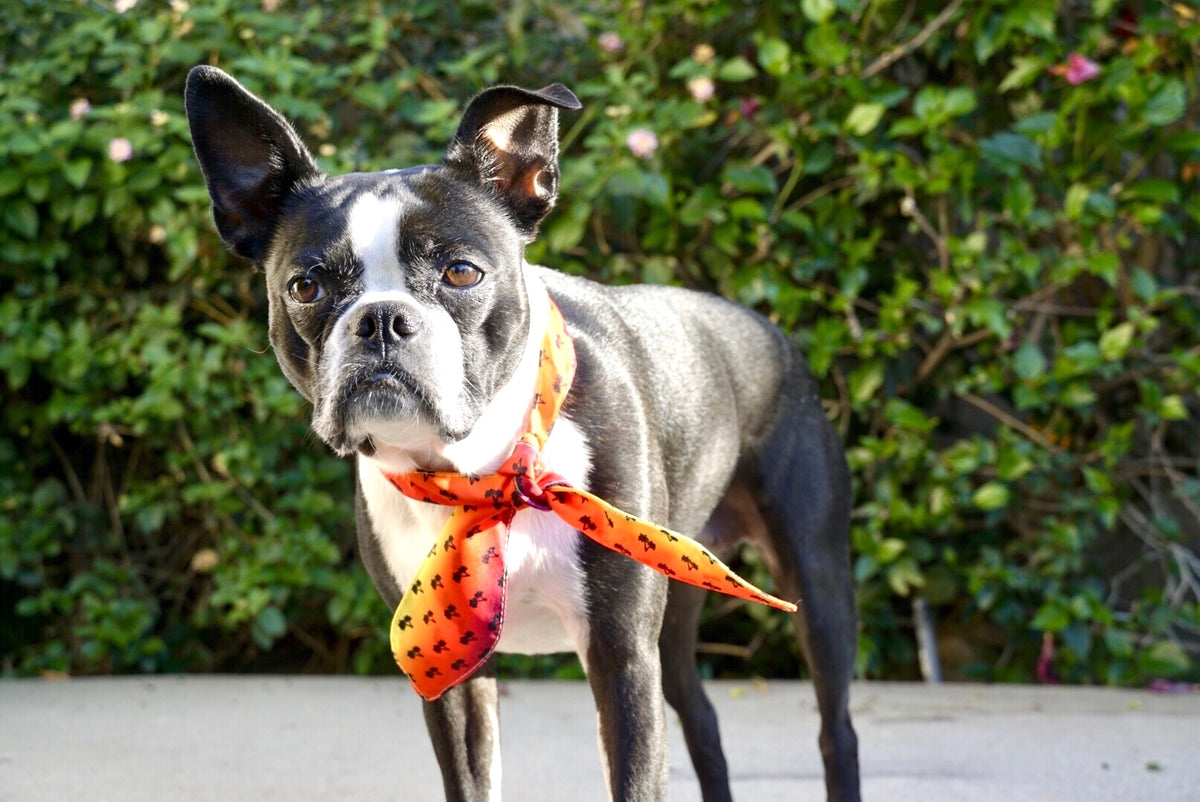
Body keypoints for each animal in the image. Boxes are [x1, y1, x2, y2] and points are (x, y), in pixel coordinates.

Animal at [184, 64, 864, 802]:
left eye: (461, 272)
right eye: (305, 287)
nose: (383, 319)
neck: (477, 474)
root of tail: (770, 328)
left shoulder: (623, 657)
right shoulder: (449, 671)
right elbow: (472, 783)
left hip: (817, 580)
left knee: (836, 729)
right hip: (679, 606)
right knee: (703, 720)